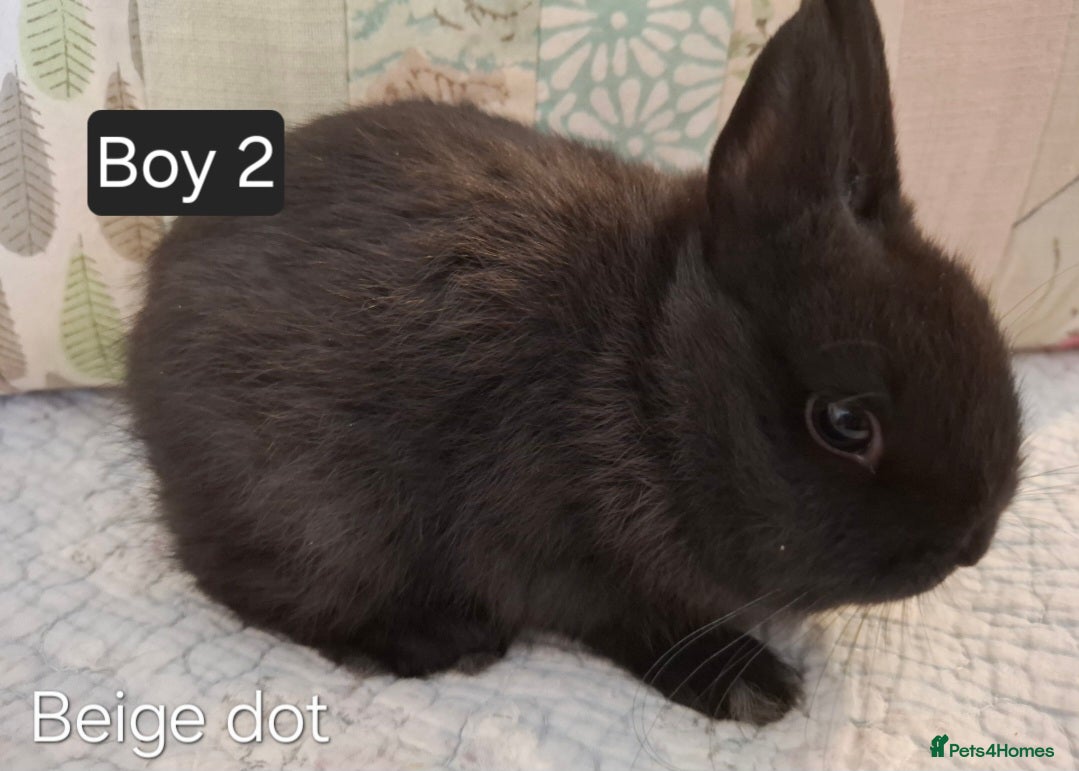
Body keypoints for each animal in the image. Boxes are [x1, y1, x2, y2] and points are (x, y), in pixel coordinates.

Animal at [126, 0, 1022, 725]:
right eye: (842, 422)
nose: (973, 540)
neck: (649, 374)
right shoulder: (559, 558)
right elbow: (629, 619)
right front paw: (750, 685)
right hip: (321, 511)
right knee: (246, 583)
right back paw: (434, 638)